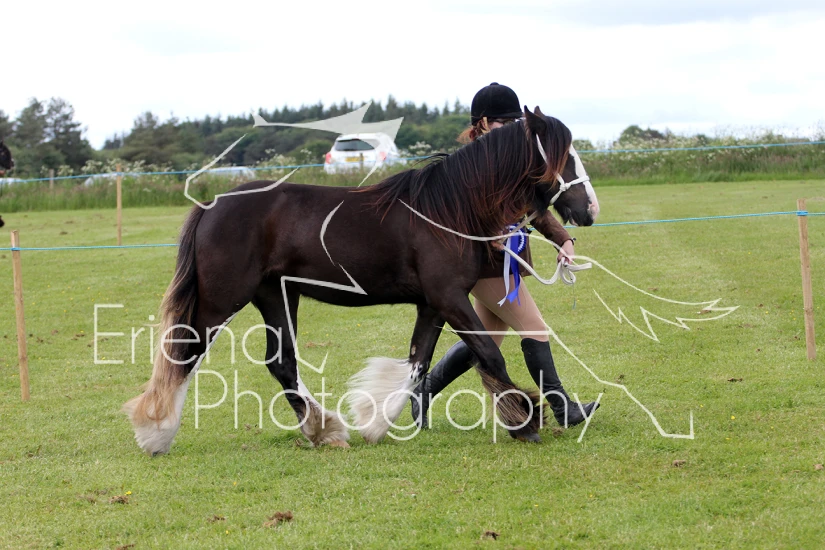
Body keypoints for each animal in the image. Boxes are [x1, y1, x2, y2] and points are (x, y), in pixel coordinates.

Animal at [124, 107, 598, 455]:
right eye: (563, 156)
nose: (588, 209)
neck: (447, 210)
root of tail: (212, 205)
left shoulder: (432, 304)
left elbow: (418, 363)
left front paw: (375, 424)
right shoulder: (449, 298)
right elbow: (489, 356)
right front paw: (526, 422)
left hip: (276, 296)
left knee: (281, 363)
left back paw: (323, 429)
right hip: (222, 300)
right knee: (184, 354)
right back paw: (157, 434)